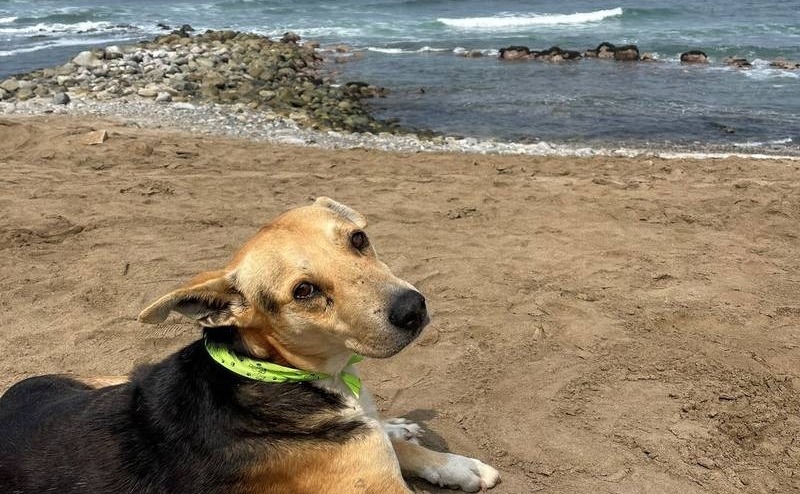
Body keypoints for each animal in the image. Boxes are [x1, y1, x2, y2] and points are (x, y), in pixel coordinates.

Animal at [0, 198, 500, 494]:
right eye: (304, 292)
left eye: (358, 239)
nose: (412, 308)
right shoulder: (375, 481)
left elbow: (400, 447)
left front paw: (458, 466)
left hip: (113, 376)